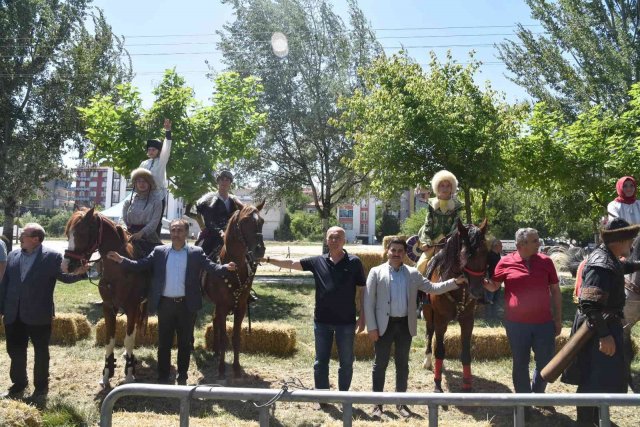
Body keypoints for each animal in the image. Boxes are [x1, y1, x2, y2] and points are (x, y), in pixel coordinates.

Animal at [62, 209, 150, 390]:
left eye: (81, 233)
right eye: (68, 234)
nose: (67, 265)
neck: (119, 269)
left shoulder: (132, 307)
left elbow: (128, 339)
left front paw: (129, 374)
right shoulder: (108, 308)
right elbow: (110, 340)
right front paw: (107, 374)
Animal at [204, 202, 266, 380]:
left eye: (262, 221)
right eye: (244, 221)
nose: (259, 250)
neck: (233, 268)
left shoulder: (241, 308)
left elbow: (236, 338)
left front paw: (237, 369)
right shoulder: (222, 307)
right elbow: (225, 337)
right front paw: (221, 370)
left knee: (214, 320)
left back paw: (216, 351)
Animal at [422, 219, 488, 392]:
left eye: (485, 252)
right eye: (466, 254)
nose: (477, 291)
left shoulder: (467, 320)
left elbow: (465, 352)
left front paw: (467, 384)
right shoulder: (440, 319)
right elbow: (439, 350)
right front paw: (437, 384)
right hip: (429, 314)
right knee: (430, 333)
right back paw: (428, 360)